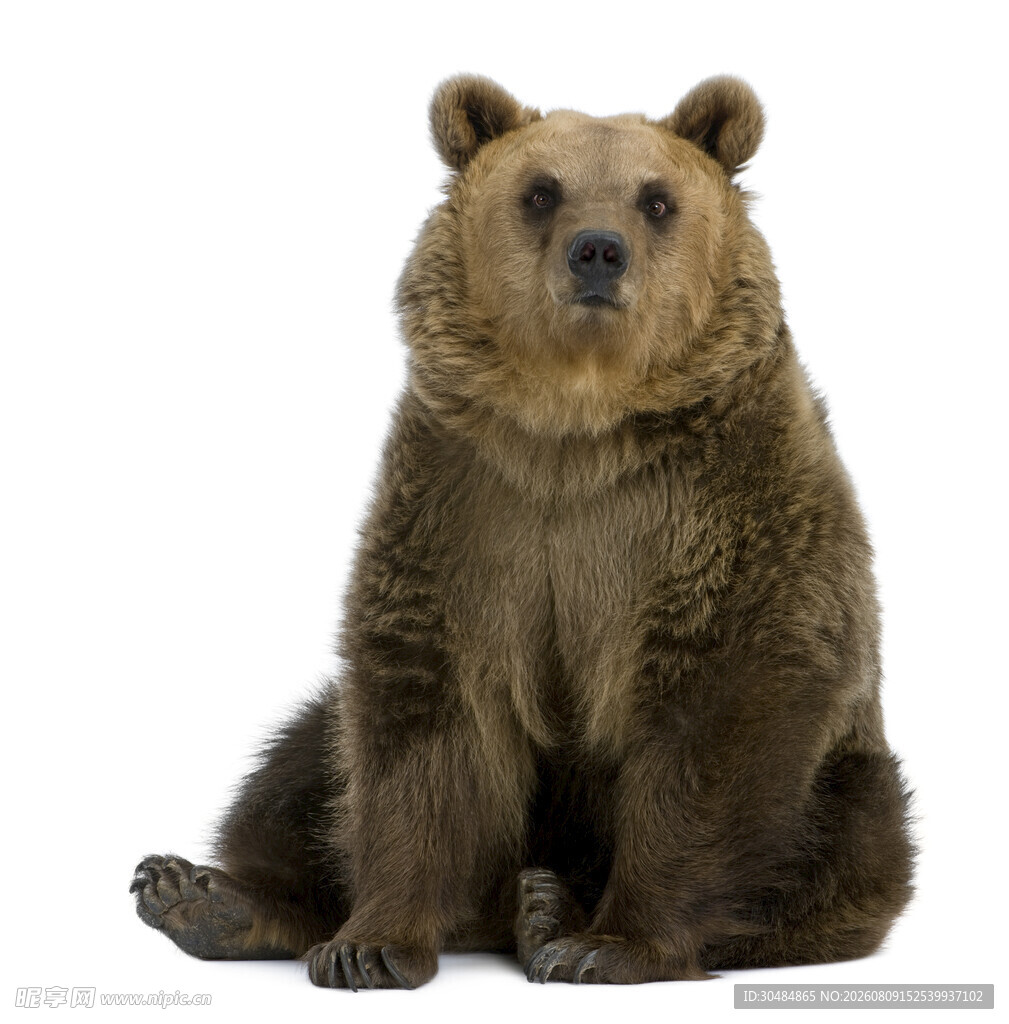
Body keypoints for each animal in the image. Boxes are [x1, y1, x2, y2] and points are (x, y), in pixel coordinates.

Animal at [131, 74, 914, 989]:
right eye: (541, 191)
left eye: (656, 199)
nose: (597, 250)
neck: (574, 427)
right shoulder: (465, 506)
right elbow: (420, 719)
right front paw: (368, 944)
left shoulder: (724, 504)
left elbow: (719, 711)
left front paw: (610, 944)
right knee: (303, 761)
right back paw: (205, 897)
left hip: (848, 780)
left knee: (838, 842)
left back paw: (549, 909)